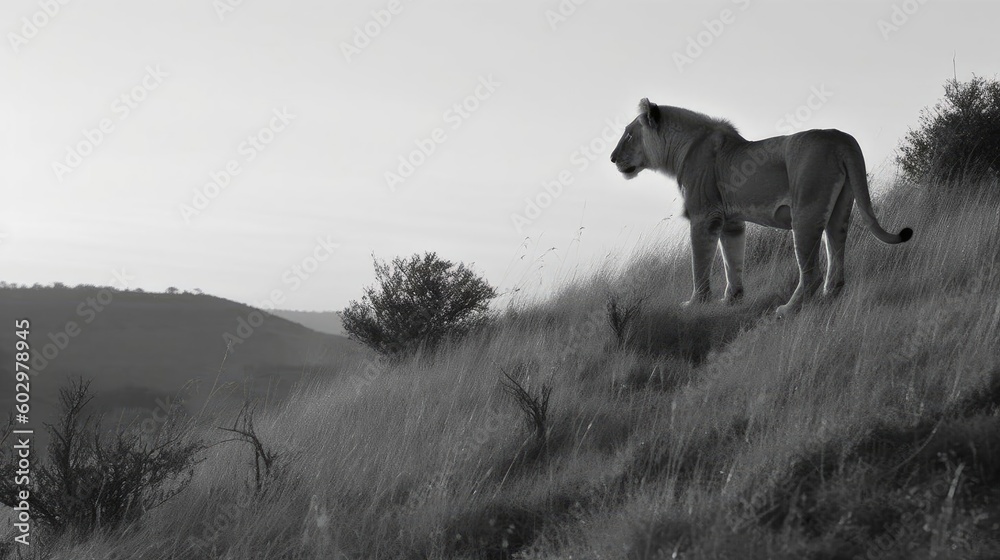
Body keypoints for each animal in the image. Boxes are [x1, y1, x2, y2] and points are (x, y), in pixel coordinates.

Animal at [610, 99, 912, 316]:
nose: (612, 158)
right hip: (840, 210)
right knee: (836, 259)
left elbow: (700, 263)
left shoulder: (704, 216)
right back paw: (830, 298)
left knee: (811, 273)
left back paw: (788, 309)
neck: (680, 149)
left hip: (806, 212)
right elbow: (732, 260)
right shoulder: (731, 222)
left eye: (628, 135)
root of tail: (841, 138)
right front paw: (732, 299)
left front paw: (696, 302)